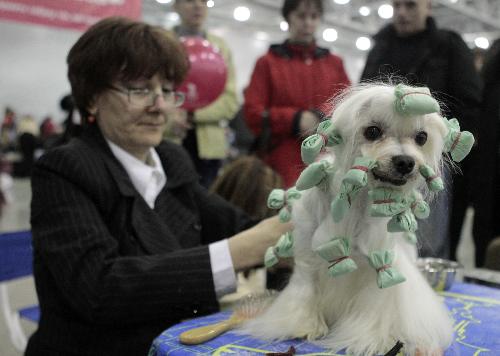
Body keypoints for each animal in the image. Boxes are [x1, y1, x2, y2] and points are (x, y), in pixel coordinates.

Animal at [238, 82, 472, 354]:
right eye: (372, 131)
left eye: (421, 137)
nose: (405, 162)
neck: (357, 204)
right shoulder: (307, 258)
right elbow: (305, 290)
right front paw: (305, 325)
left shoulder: (380, 263)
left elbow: (378, 305)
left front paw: (374, 338)